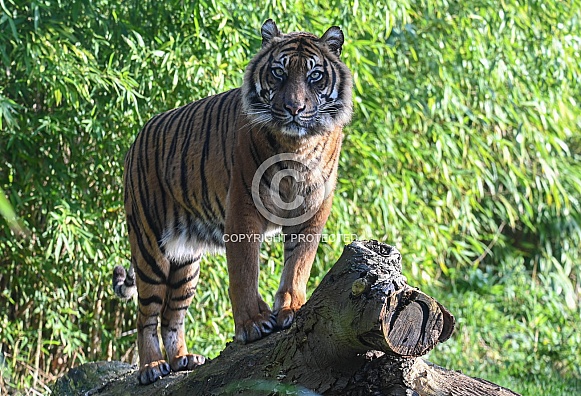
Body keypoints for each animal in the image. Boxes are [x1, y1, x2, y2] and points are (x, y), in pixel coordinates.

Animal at [111, 20, 352, 386]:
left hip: (186, 263)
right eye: (279, 72)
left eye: (314, 76)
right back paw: (152, 367)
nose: (294, 109)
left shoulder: (312, 209)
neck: (296, 146)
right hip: (149, 246)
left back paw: (183, 360)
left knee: (172, 314)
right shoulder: (242, 208)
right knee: (146, 314)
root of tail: (138, 135)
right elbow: (244, 271)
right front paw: (253, 323)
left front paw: (291, 308)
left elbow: (299, 264)